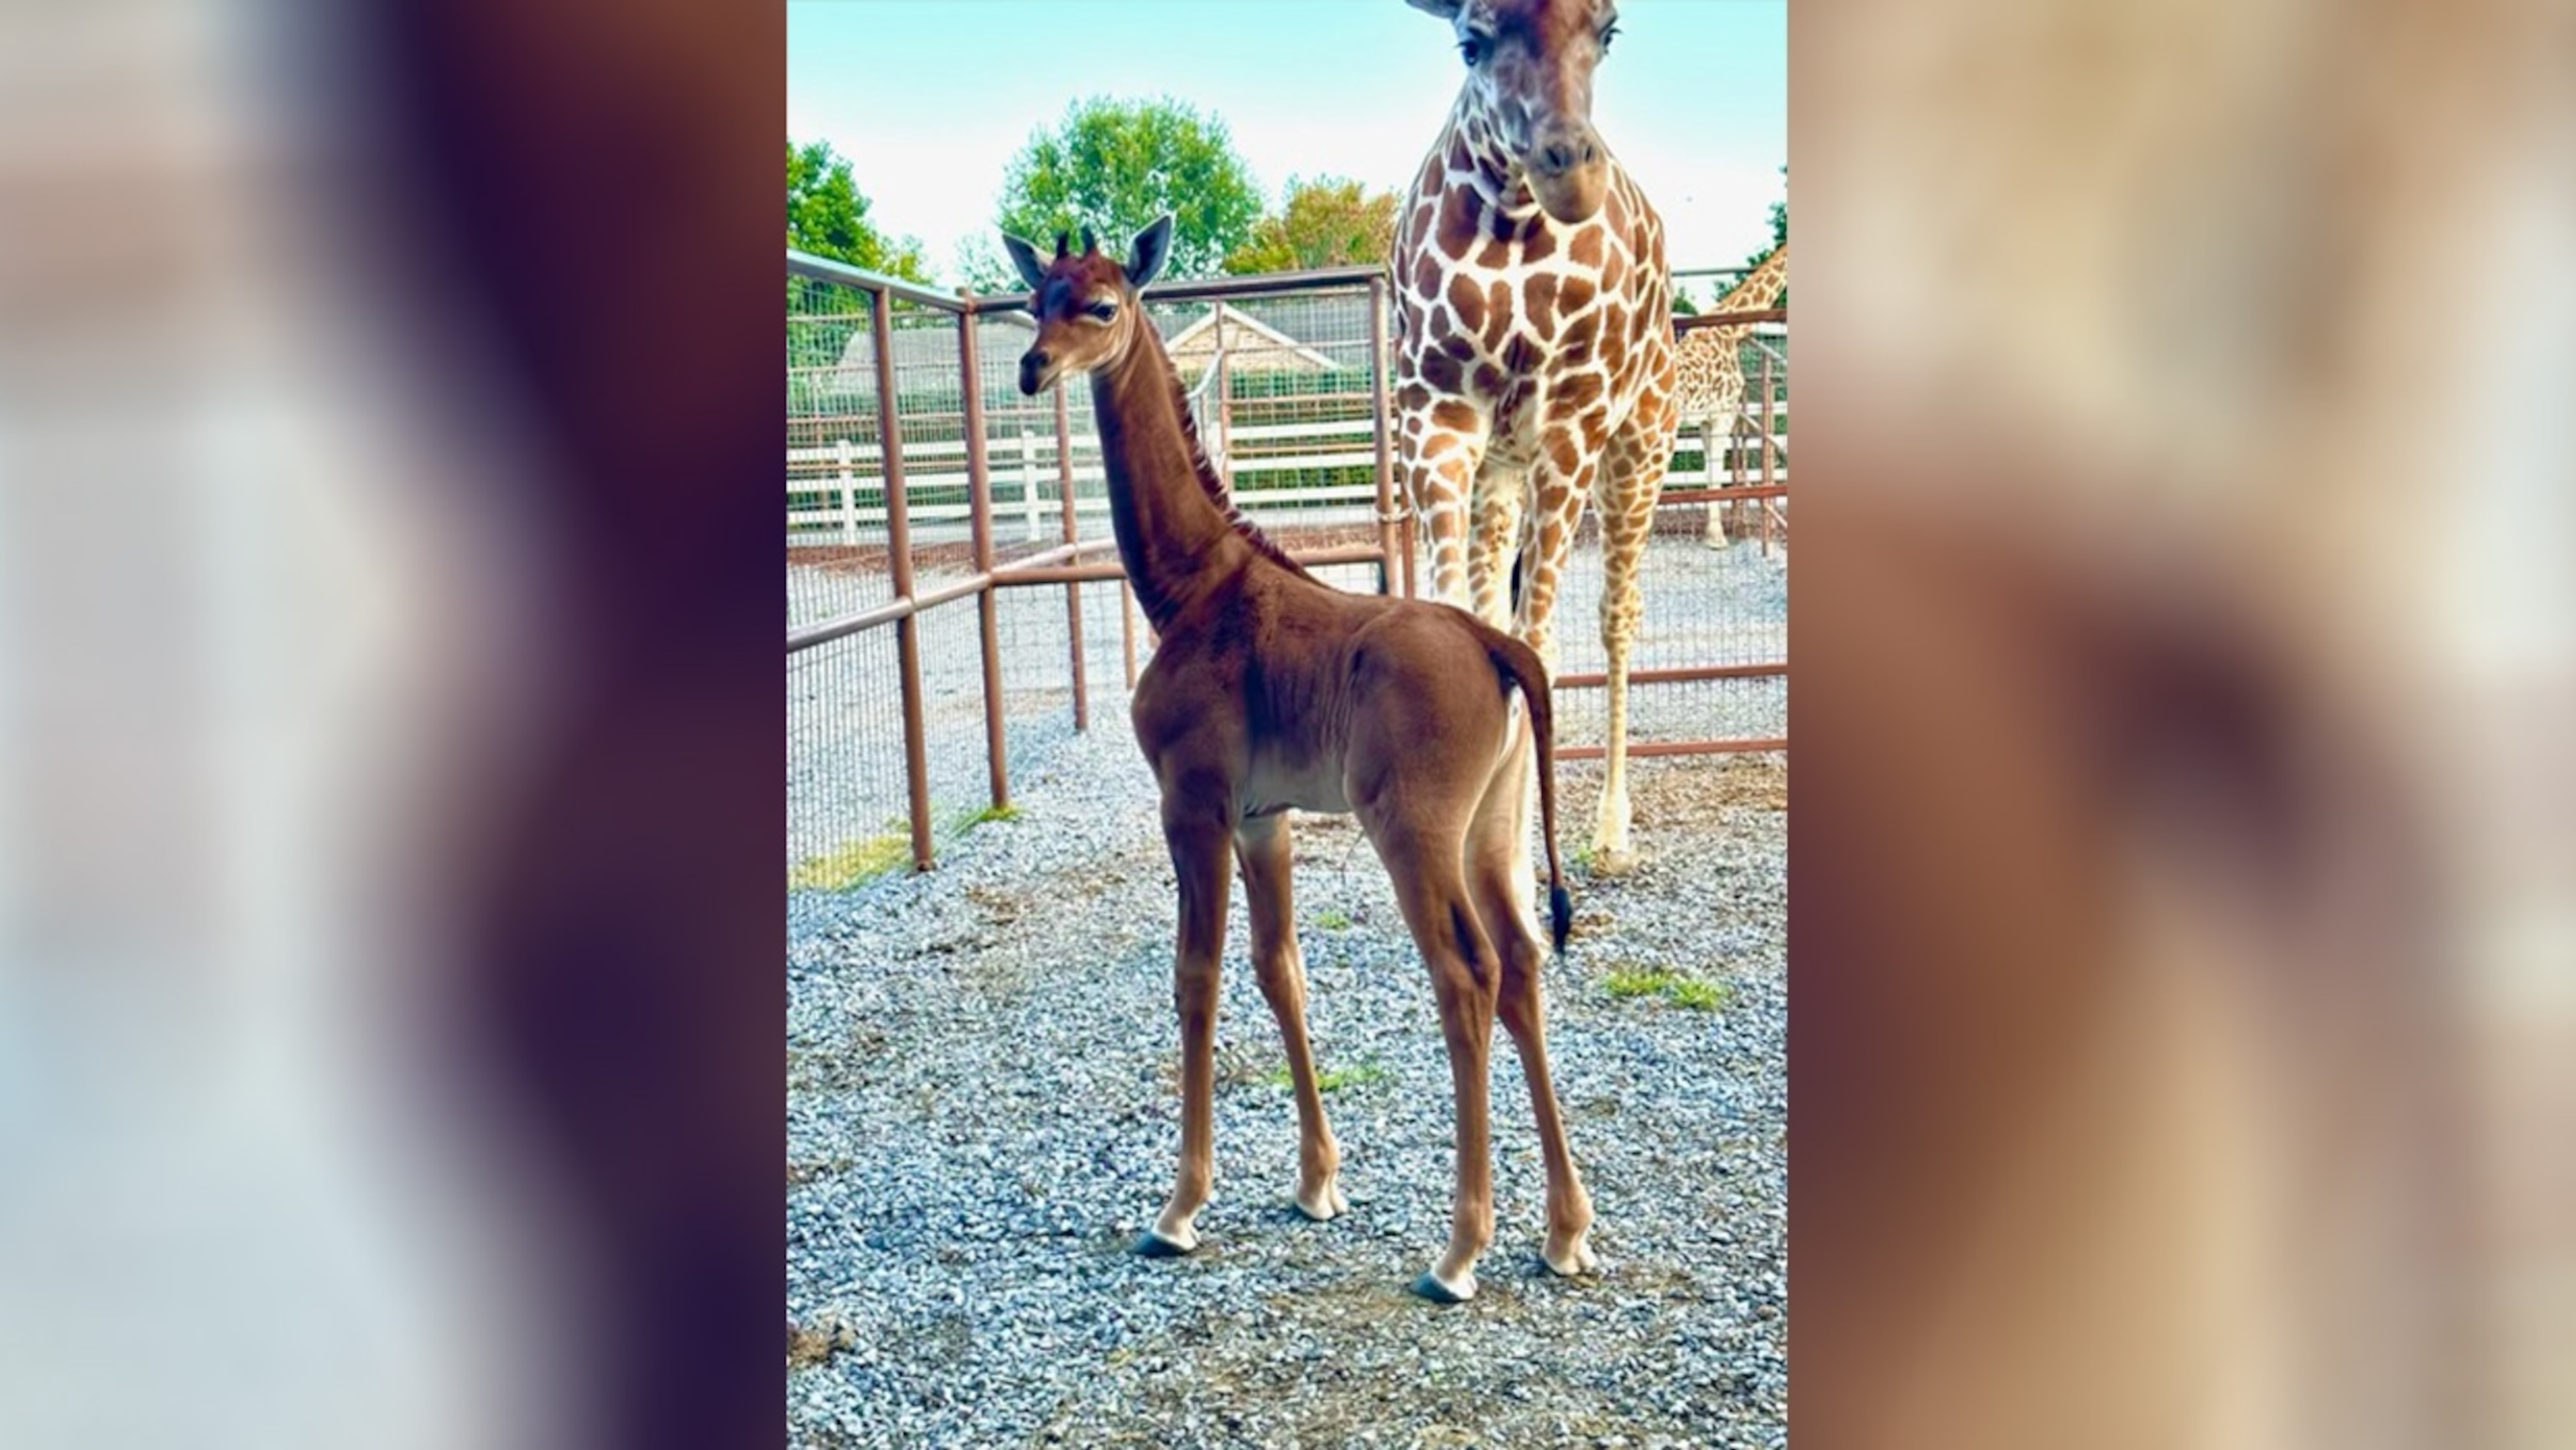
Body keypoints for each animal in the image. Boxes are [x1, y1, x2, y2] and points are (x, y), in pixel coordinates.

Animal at [999, 212, 1587, 1302]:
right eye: (1035, 300)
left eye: (1100, 303)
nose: (1031, 367)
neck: (1190, 587)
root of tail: (1500, 648)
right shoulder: (1262, 817)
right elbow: (1282, 969)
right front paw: (1317, 1182)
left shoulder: (1192, 802)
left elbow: (1197, 974)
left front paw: (1180, 1208)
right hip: (1491, 828)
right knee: (1525, 961)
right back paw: (1566, 1230)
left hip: (1414, 830)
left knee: (1467, 973)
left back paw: (1459, 1252)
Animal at [1390, 0, 1669, 876]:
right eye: (1469, 43)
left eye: (1609, 31)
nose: (1567, 170)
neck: (1512, 224)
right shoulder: (1436, 415)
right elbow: (1465, 624)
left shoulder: (1571, 421)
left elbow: (1537, 643)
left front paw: (1516, 870)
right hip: (1501, 470)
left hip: (1640, 444)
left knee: (1618, 613)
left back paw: (1612, 832)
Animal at [1669, 242, 1793, 546]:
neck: (1730, 329)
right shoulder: (1723, 414)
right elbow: (1715, 472)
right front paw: (1716, 537)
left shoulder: (1706, 419)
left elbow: (1710, 471)